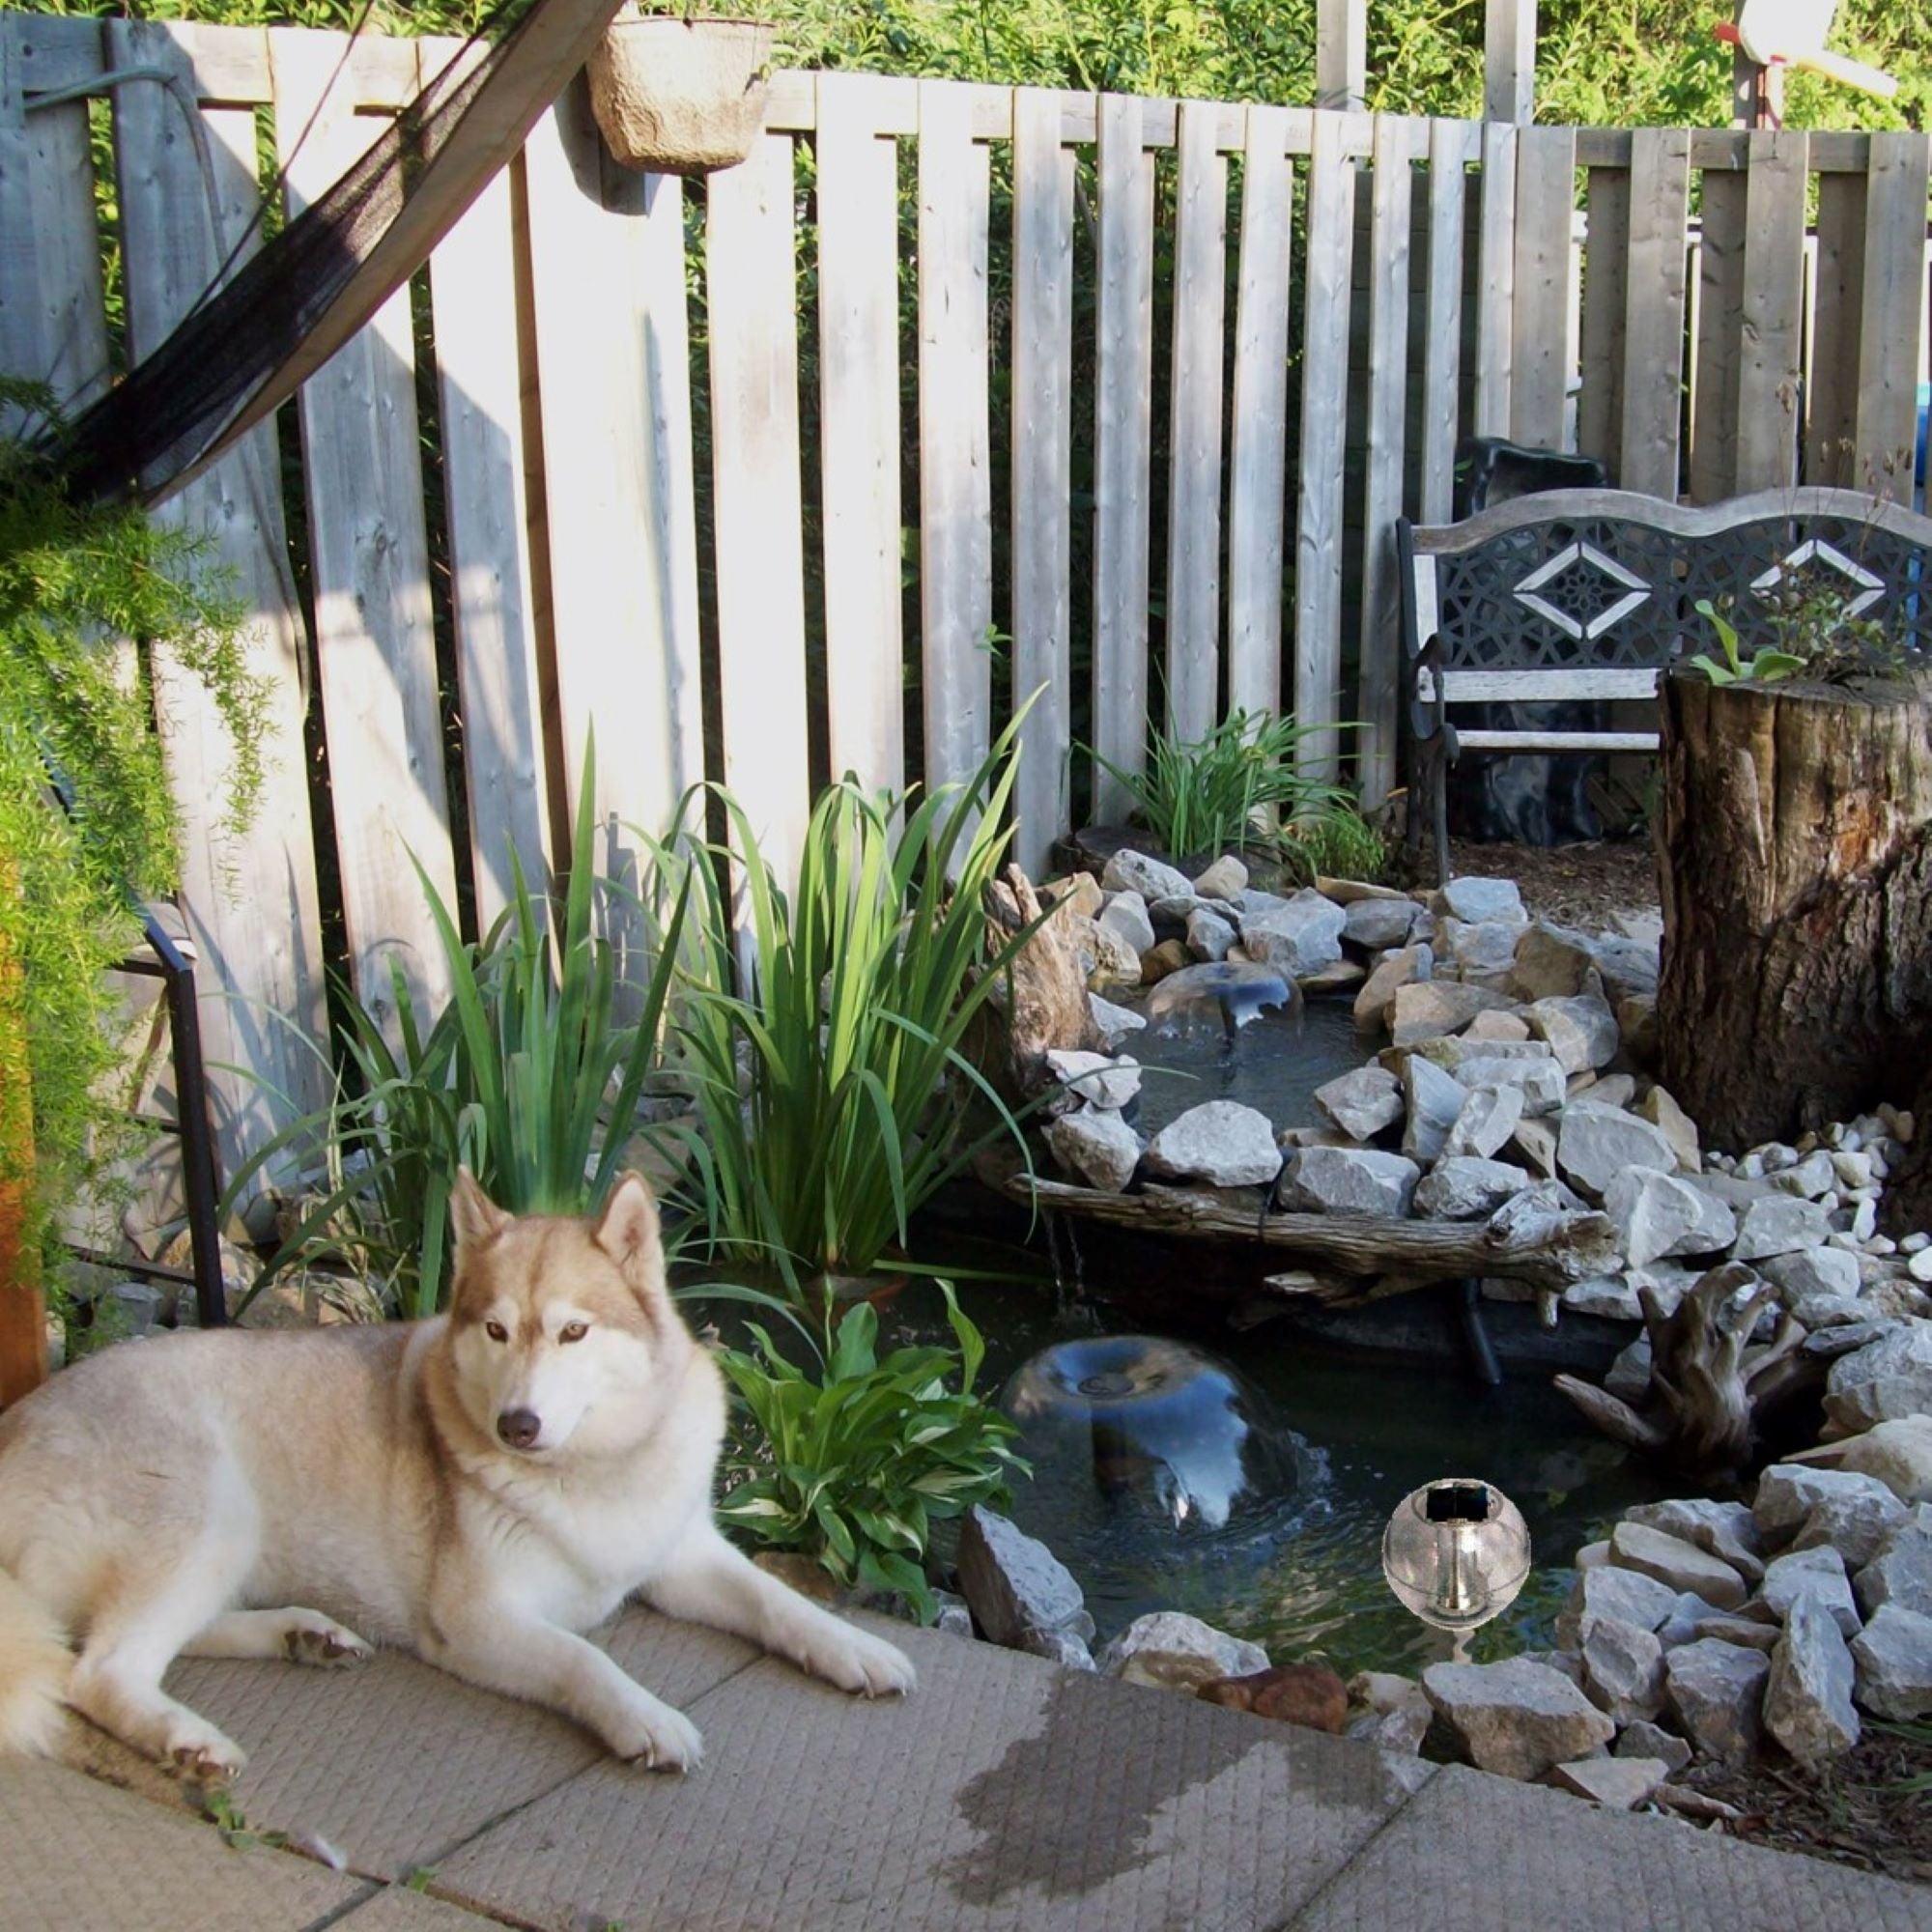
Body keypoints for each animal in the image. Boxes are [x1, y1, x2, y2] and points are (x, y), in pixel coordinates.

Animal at [0, 1159, 912, 1777]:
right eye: (497, 1331)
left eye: (574, 1332)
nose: (517, 1424)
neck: (591, 1470)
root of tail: (15, 1423)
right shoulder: (477, 1621)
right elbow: (585, 1659)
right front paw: (645, 1717)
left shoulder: (682, 1556)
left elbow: (778, 1600)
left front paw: (852, 1647)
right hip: (211, 1509)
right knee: (97, 1670)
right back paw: (189, 1737)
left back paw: (302, 1634)